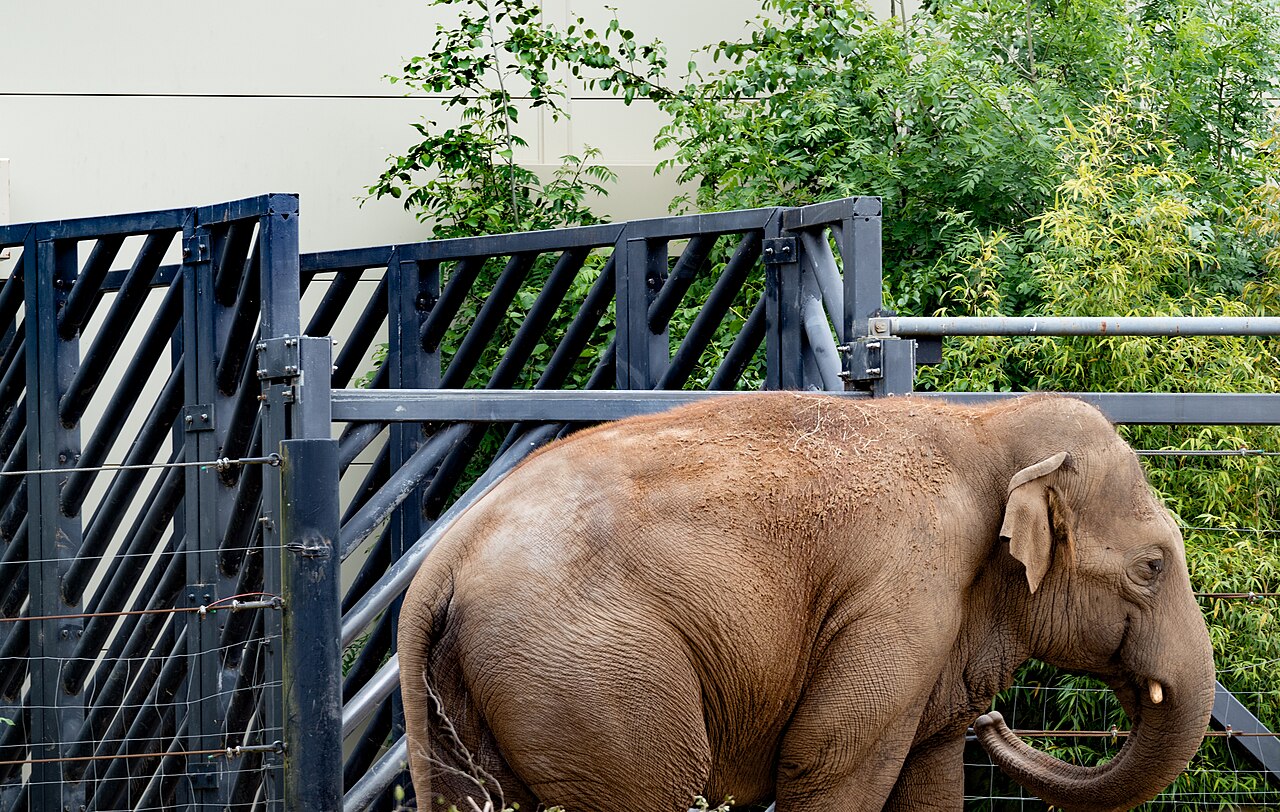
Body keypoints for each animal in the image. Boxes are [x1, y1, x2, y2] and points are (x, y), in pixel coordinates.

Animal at [398, 392, 1214, 812]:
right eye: (1151, 568)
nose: (997, 722)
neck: (984, 424)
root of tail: (441, 562)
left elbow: (931, 775)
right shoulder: (903, 593)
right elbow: (830, 763)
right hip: (594, 680)